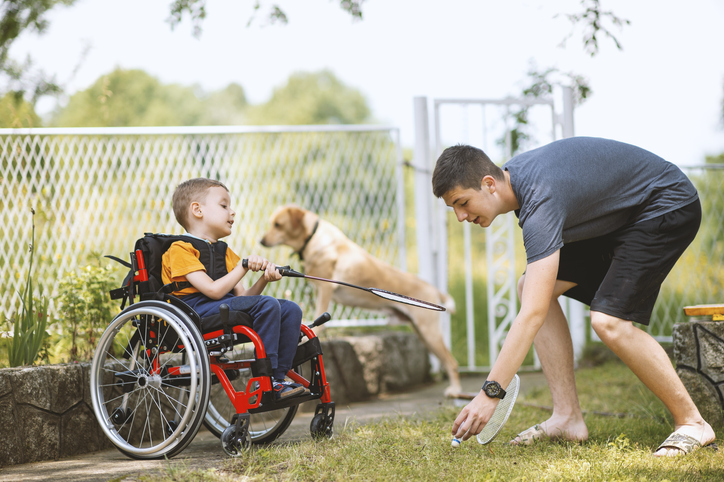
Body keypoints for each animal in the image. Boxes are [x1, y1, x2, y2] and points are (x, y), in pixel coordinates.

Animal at [264, 203, 460, 396]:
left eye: (278, 225)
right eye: (271, 223)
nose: (261, 241)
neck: (314, 238)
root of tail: (432, 287)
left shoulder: (325, 289)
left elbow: (319, 316)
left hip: (429, 332)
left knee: (452, 362)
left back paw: (455, 390)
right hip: (422, 333)